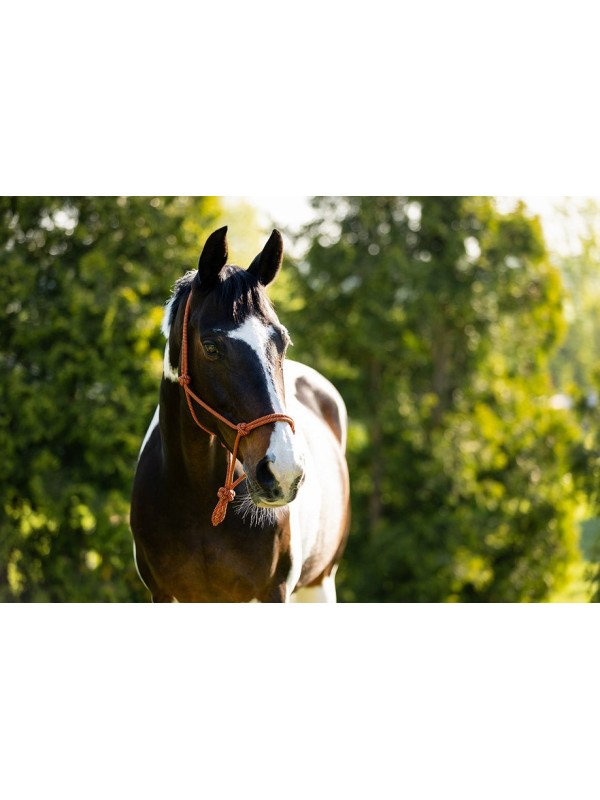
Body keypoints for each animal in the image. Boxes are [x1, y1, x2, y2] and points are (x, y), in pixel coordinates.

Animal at [130, 226, 350, 602]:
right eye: (211, 346)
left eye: (282, 341)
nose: (284, 472)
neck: (196, 497)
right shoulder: (163, 593)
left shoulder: (274, 591)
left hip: (320, 582)